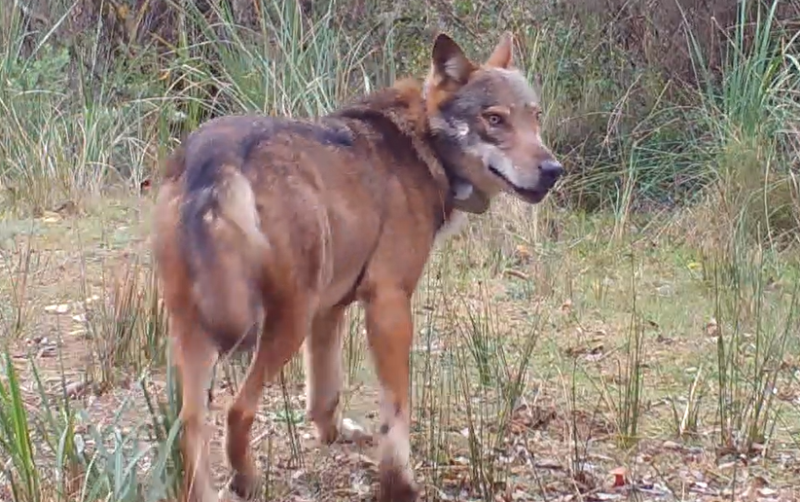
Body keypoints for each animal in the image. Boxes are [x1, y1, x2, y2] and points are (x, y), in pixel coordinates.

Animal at [150, 31, 564, 502]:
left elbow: (324, 396)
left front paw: (335, 435)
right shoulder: (388, 304)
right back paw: (247, 481)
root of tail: (214, 156)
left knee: (189, 426)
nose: (553, 170)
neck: (424, 146)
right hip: (283, 322)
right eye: (494, 119)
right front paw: (401, 484)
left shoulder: (331, 310)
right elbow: (397, 411)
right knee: (237, 410)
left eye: (534, 117)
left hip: (198, 333)